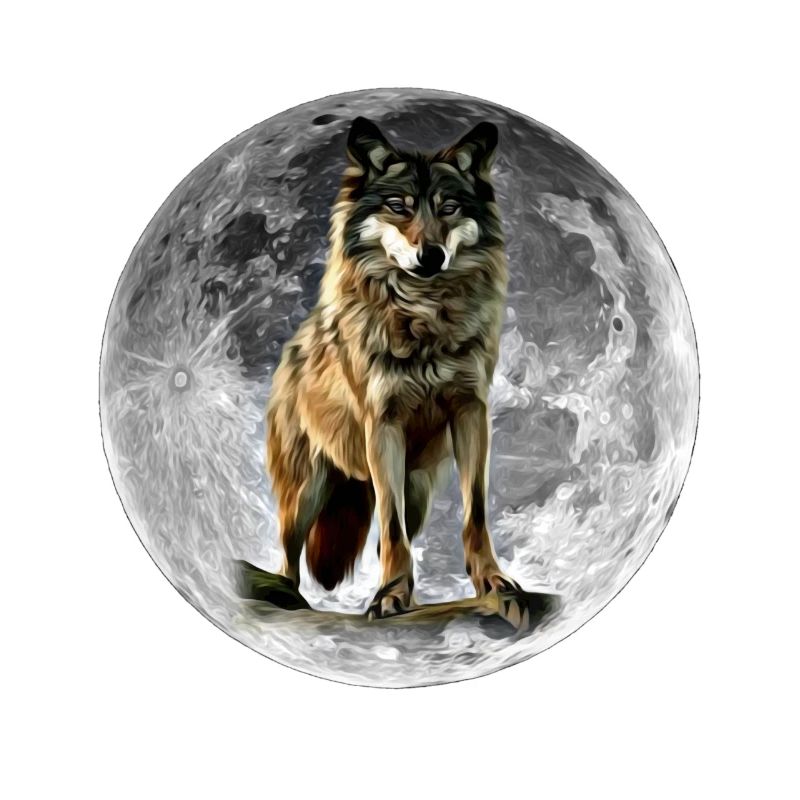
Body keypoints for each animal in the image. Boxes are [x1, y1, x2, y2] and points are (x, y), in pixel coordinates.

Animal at [266, 116, 525, 619]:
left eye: (448, 208)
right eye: (398, 207)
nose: (432, 255)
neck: (424, 317)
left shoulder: (471, 413)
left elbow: (475, 512)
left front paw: (492, 581)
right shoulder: (382, 424)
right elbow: (389, 524)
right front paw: (391, 595)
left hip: (417, 489)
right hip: (307, 489)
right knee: (288, 549)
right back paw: (286, 597)